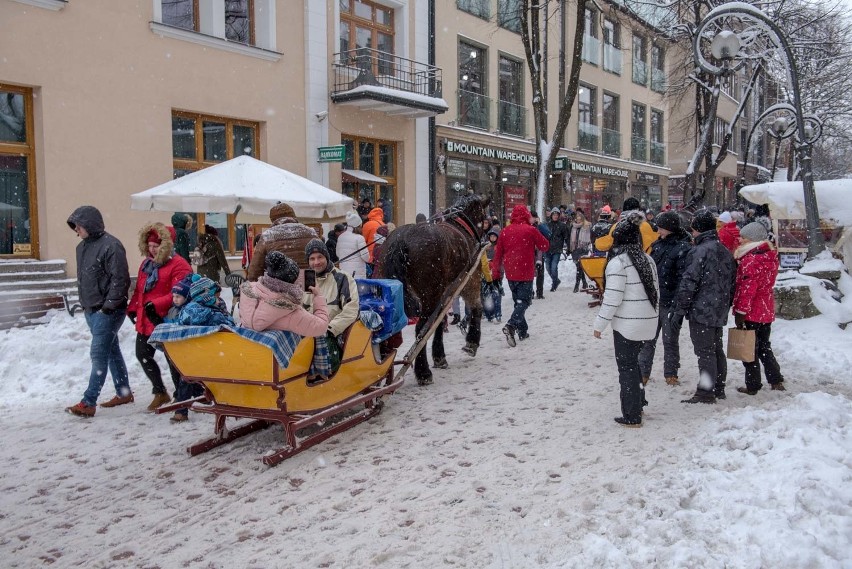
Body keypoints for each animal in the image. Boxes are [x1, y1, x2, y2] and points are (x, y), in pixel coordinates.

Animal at [376, 193, 490, 384]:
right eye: (483, 214)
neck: (461, 225)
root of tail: (401, 240)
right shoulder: (468, 280)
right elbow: (475, 307)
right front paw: (471, 342)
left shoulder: (444, 293)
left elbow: (438, 322)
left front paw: (439, 356)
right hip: (429, 295)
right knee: (420, 329)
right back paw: (423, 372)